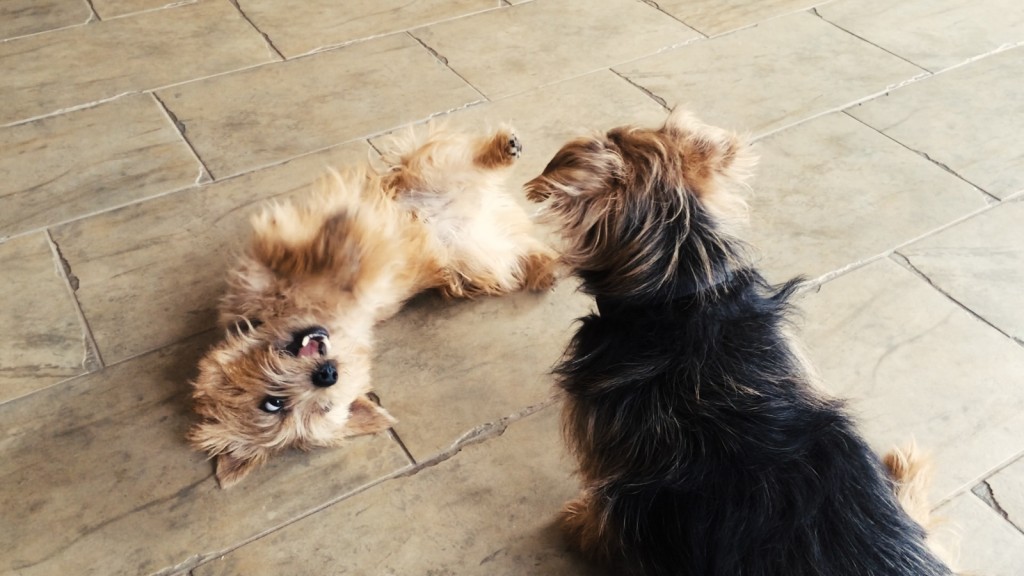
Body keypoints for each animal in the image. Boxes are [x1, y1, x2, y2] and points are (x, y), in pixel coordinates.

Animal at [188, 124, 557, 483]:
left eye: (270, 403)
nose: (326, 374)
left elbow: (291, 257)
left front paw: (313, 239)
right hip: (482, 257)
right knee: (521, 252)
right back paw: (545, 267)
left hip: (432, 175)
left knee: (468, 161)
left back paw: (503, 149)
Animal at [524, 108, 954, 573]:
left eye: (616, 134)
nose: (612, 127)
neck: (681, 289)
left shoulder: (607, 461)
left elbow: (600, 513)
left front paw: (578, 523)